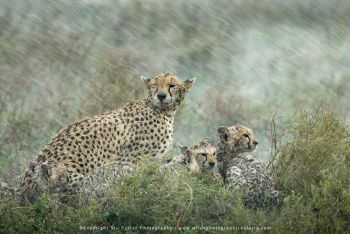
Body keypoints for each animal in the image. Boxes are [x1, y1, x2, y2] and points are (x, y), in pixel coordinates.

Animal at [19, 72, 196, 202]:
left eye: (172, 85)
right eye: (154, 86)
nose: (161, 95)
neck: (163, 110)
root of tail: (23, 190)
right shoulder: (130, 160)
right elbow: (133, 180)